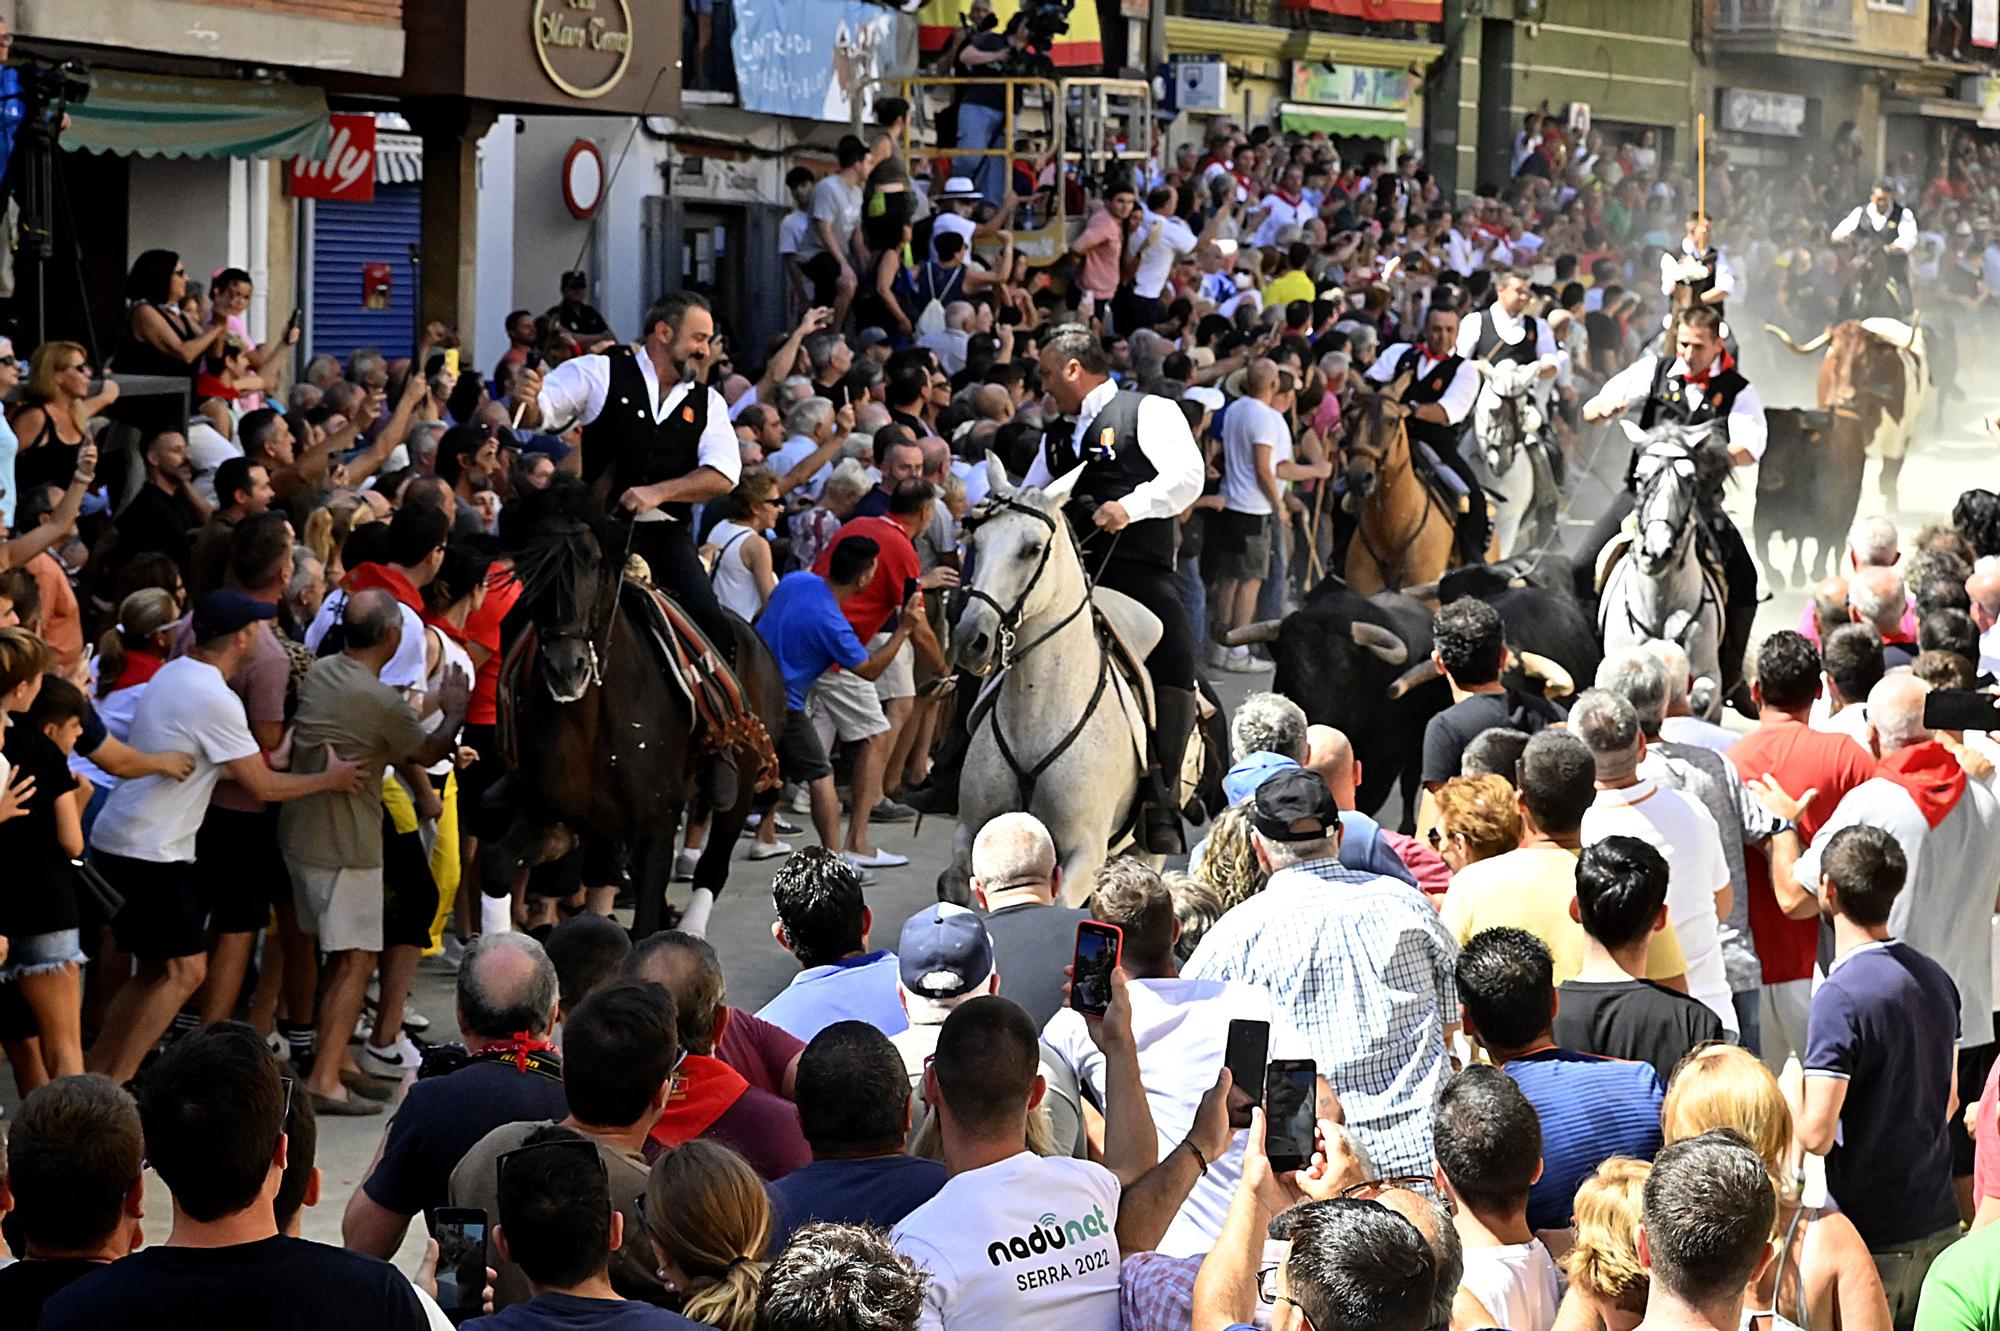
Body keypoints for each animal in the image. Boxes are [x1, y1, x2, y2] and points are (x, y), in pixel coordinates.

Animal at [488, 477, 784, 931]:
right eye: (526, 566)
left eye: (594, 561)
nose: (566, 668)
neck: (589, 721)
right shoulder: (555, 819)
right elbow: (499, 866)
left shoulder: (655, 828)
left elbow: (645, 925)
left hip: (742, 786)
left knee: (713, 868)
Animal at [948, 453, 1160, 903]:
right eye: (977, 543)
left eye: (1030, 550)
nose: (971, 641)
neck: (1038, 712)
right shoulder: (970, 831)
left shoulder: (1085, 851)